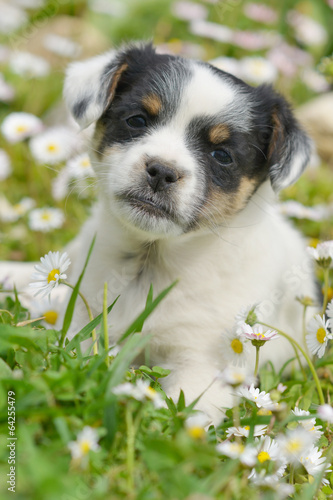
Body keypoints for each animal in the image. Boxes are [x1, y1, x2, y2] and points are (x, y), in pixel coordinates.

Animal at [62, 43, 316, 422]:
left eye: (221, 154)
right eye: (137, 120)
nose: (161, 171)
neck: (152, 261)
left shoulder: (203, 365)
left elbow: (182, 416)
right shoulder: (82, 316)